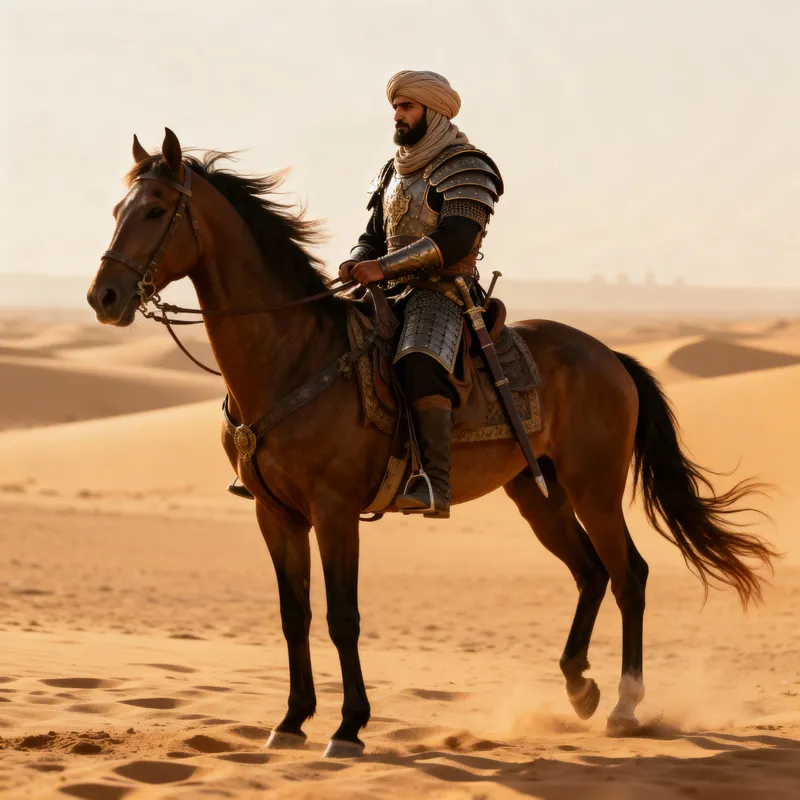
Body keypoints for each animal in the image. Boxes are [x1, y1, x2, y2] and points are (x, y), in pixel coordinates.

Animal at [87, 129, 776, 757]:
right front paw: (291, 721)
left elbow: (341, 617)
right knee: (589, 572)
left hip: (595, 489)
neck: (292, 354)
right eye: (118, 209)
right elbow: (294, 615)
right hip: (538, 492)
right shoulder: (274, 514)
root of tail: (609, 357)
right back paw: (579, 686)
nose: (104, 297)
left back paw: (626, 705)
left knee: (628, 573)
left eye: (155, 211)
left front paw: (348, 727)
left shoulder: (335, 511)